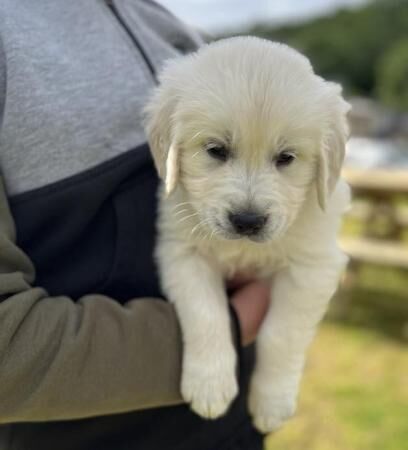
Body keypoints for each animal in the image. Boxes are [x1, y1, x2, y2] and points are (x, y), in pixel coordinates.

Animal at [144, 37, 350, 434]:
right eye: (216, 150)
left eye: (286, 157)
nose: (248, 220)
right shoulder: (183, 253)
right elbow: (207, 312)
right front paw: (210, 386)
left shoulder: (312, 267)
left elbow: (281, 334)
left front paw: (272, 401)